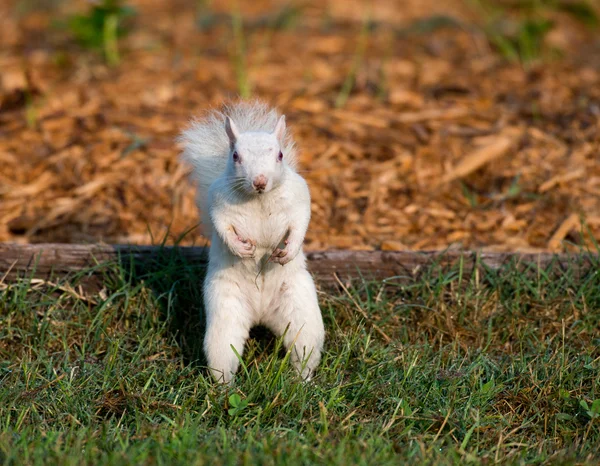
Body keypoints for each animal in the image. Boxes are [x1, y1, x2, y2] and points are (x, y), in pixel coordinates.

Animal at [179, 101, 326, 382]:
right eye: (236, 156)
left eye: (280, 155)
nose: (259, 181)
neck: (259, 199)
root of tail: (260, 315)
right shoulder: (218, 205)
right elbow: (223, 228)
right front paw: (241, 248)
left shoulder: (300, 200)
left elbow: (300, 225)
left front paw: (288, 251)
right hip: (224, 320)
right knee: (224, 356)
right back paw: (224, 387)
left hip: (302, 316)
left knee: (303, 350)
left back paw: (303, 382)